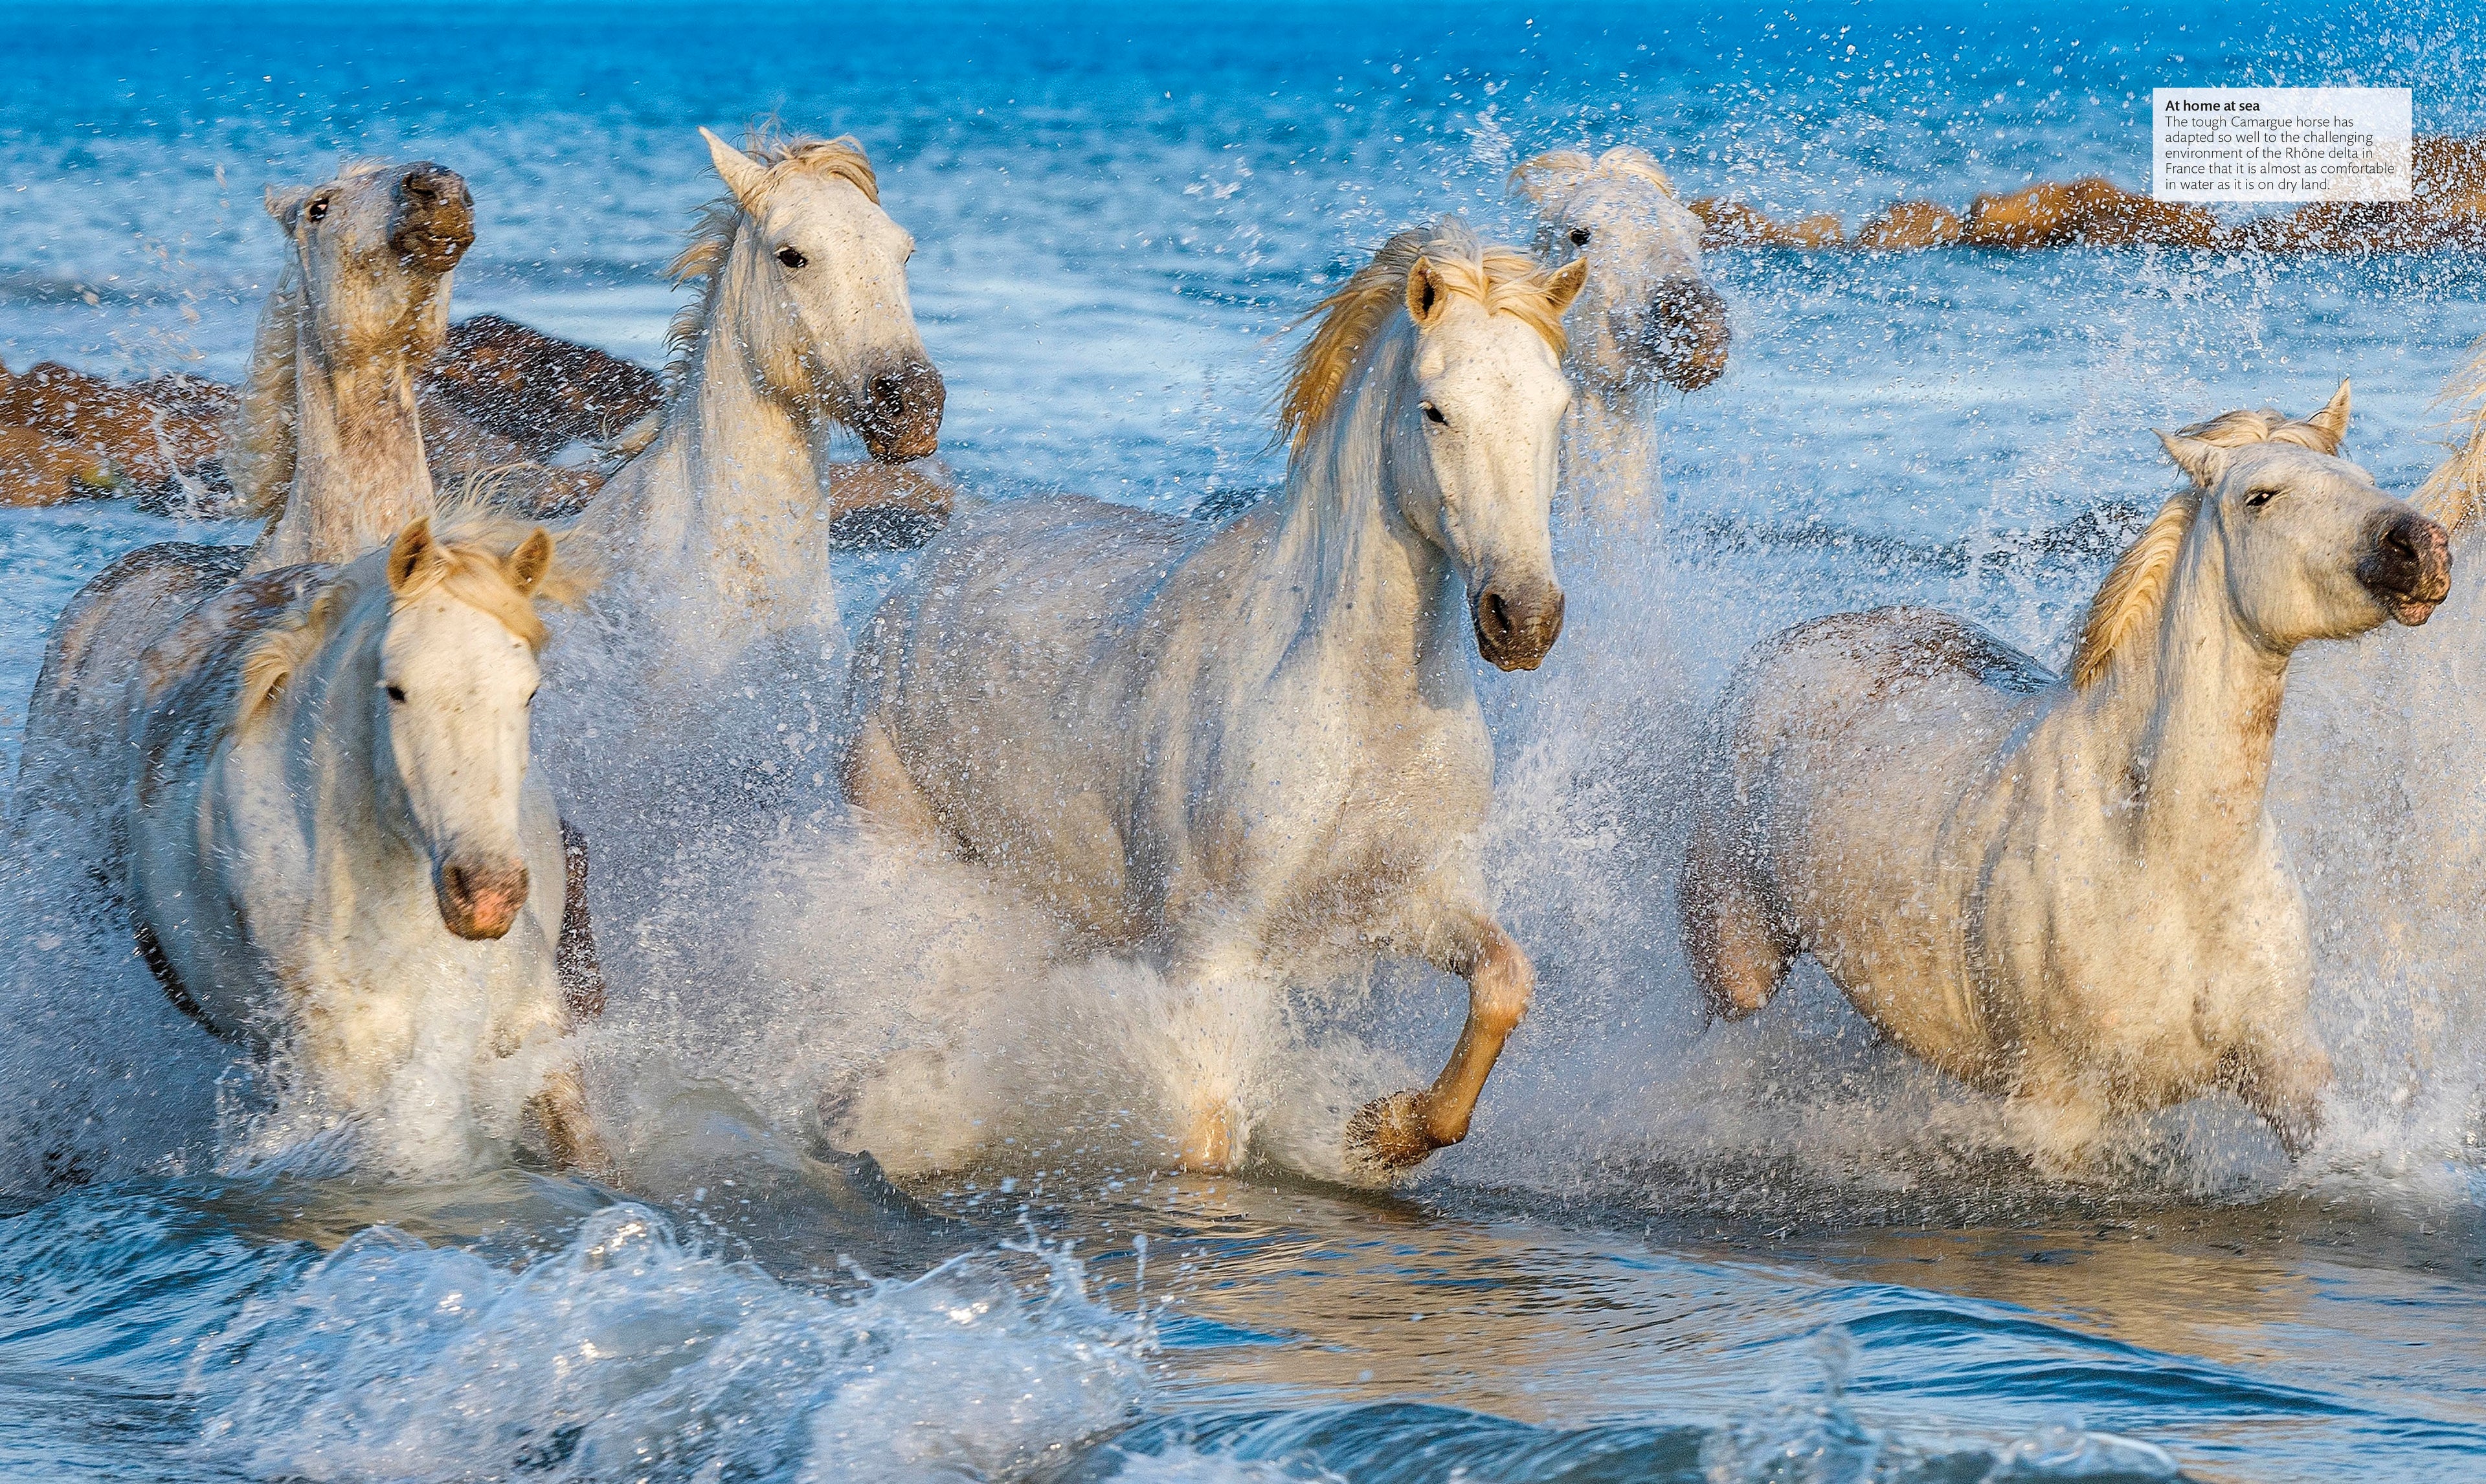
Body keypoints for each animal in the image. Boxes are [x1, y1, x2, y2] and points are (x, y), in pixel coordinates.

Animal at [843, 218, 1587, 1175]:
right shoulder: (1211, 949)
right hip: (906, 843)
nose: (1522, 618)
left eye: (1558, 409)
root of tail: (937, 563)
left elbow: (1502, 984)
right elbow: (1205, 1131)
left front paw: (1381, 1127)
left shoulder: (1410, 898)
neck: (1359, 708)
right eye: (1436, 411)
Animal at [1677, 408, 2450, 1170]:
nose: (2423, 546)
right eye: (2260, 496)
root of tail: (1792, 645)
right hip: (1737, 966)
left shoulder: (2287, 1068)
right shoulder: (2058, 1111)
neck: (2163, 856)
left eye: (2363, 476)